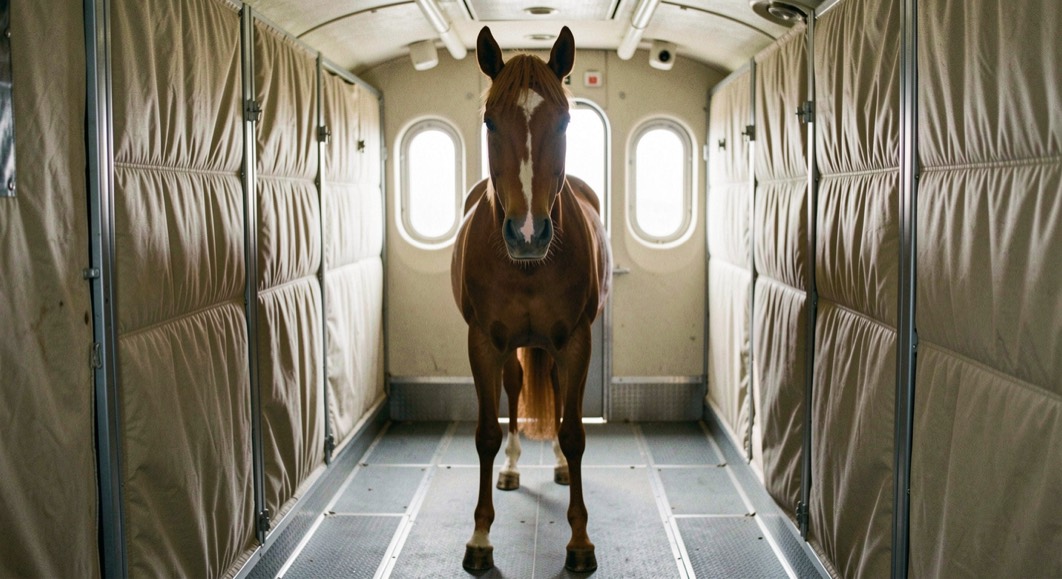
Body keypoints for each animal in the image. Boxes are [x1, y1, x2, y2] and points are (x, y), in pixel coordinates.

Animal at [450, 26, 612, 574]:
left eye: (564, 120)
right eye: (489, 121)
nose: (526, 234)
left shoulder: (576, 341)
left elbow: (574, 432)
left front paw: (580, 540)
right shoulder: (482, 343)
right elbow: (485, 433)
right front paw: (479, 537)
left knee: (558, 395)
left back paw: (558, 467)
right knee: (516, 386)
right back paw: (512, 467)